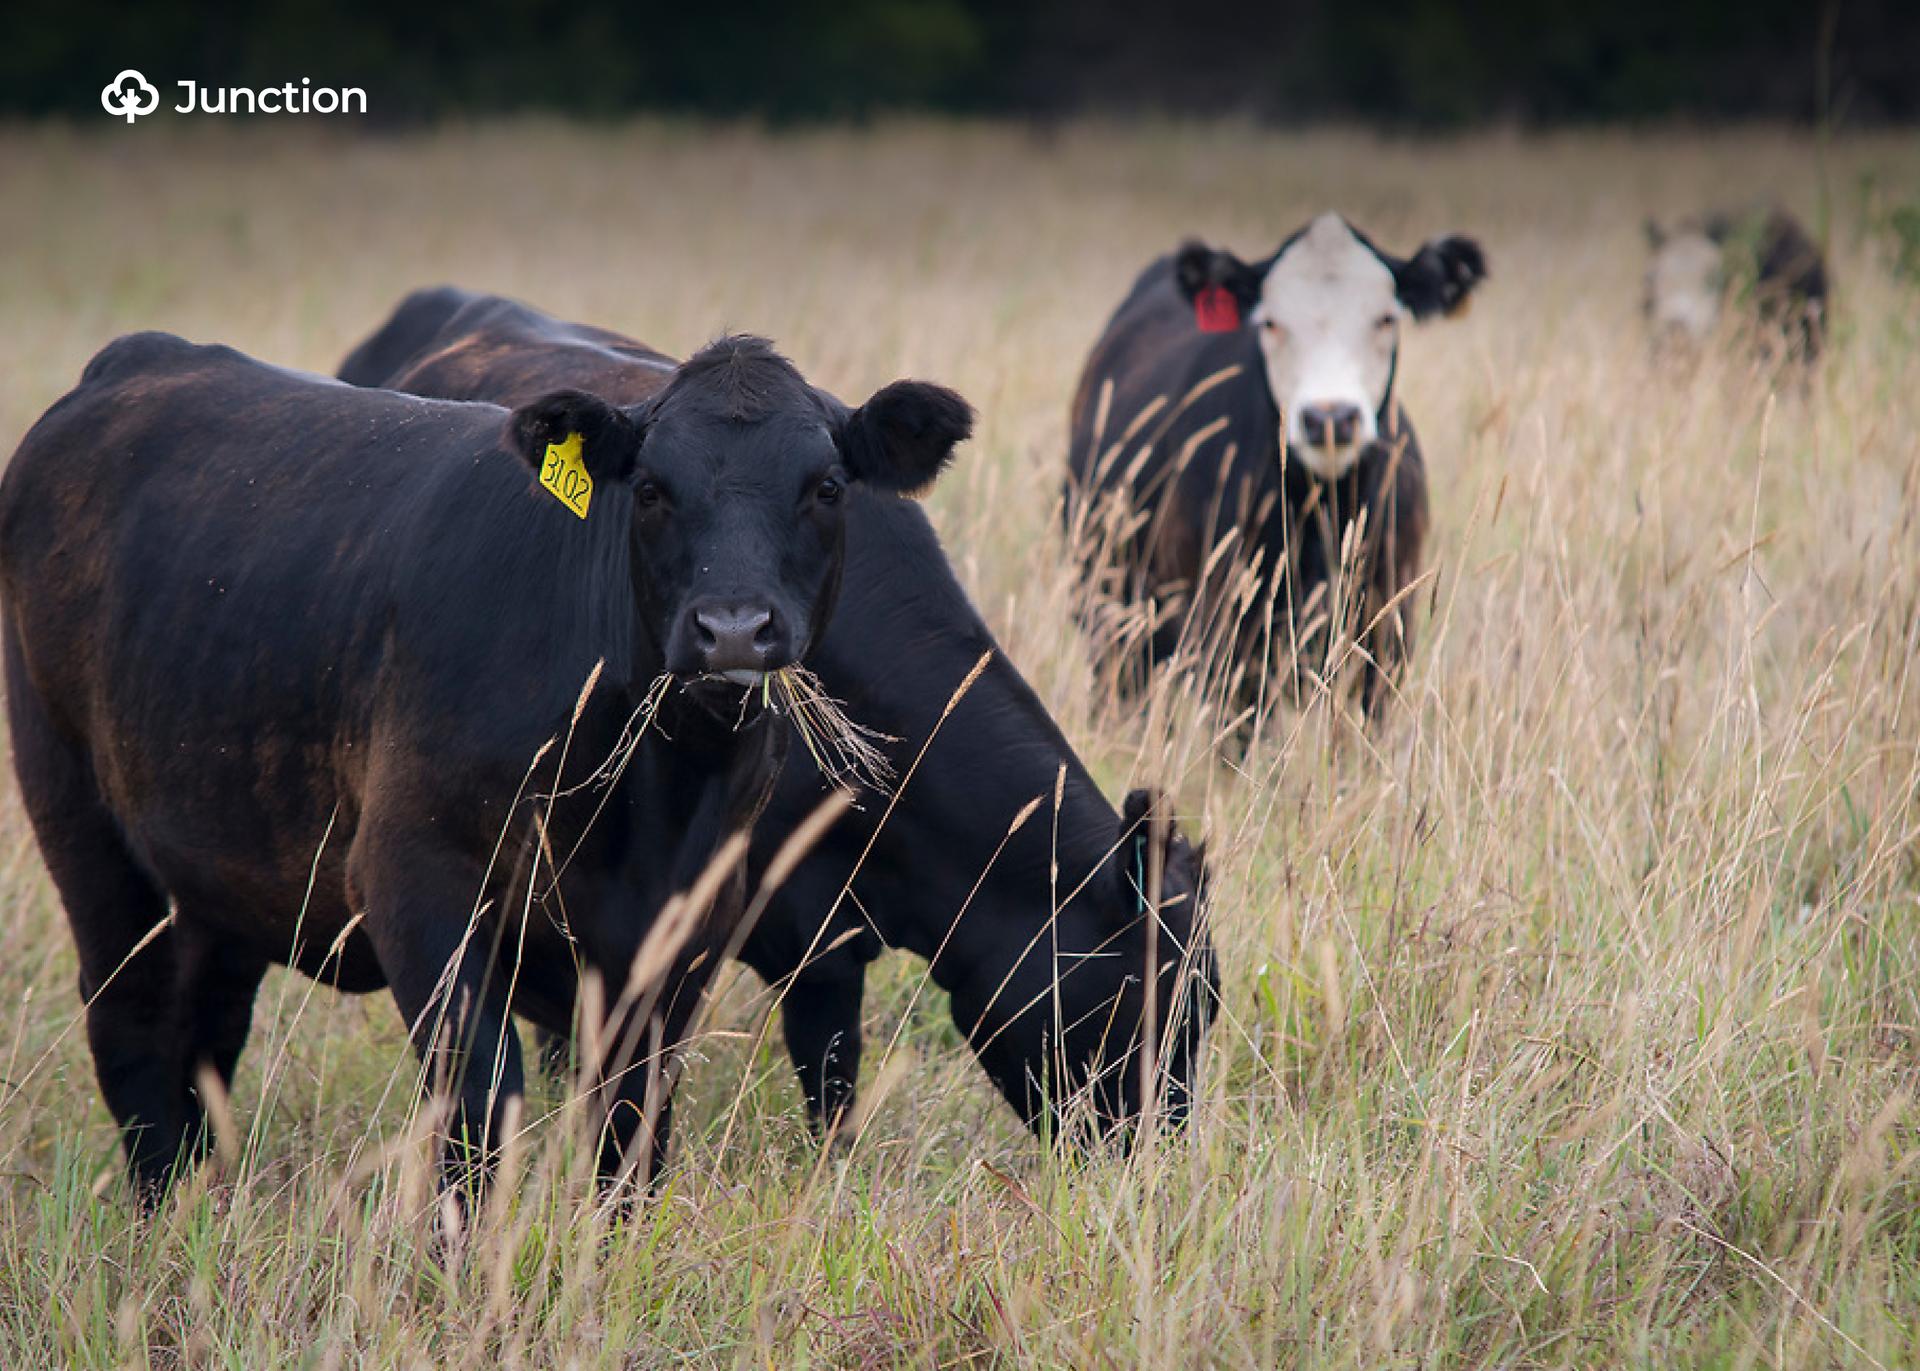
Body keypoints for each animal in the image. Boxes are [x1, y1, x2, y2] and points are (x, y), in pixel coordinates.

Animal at [0, 328, 970, 1201]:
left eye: (827, 487)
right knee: (128, 1014)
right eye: (652, 488)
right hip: (77, 813)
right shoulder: (419, 881)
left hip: (217, 855)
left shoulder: (684, 929)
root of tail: (136, 359)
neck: (648, 798)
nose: (732, 626)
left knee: (206, 1023)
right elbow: (478, 1104)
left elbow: (633, 1126)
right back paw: (157, 1212)